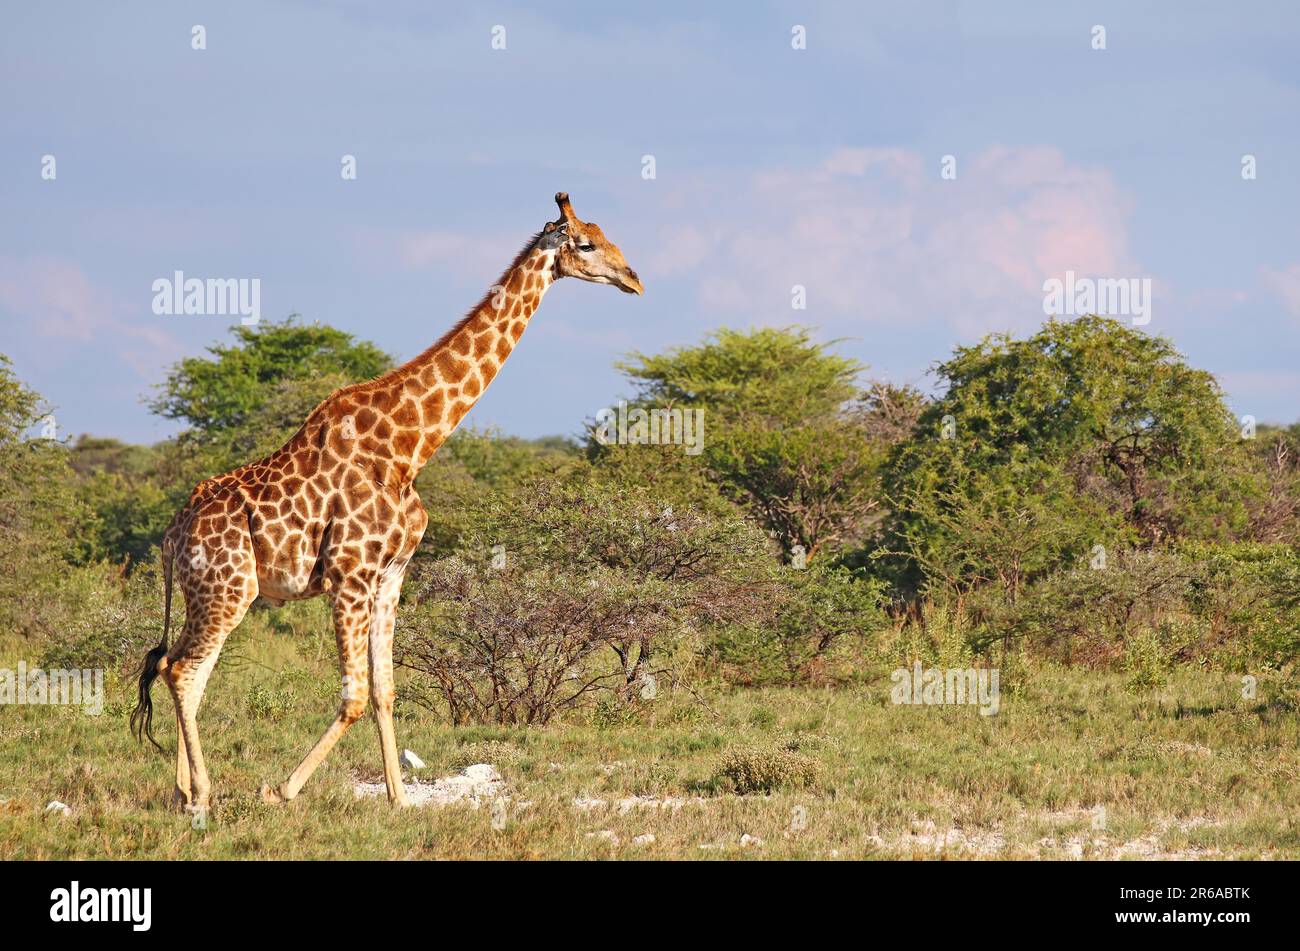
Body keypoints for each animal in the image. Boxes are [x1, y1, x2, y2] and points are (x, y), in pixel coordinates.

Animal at [131, 193, 639, 810]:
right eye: (585, 244)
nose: (634, 279)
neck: (409, 447)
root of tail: (170, 535)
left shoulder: (392, 573)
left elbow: (384, 690)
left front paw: (398, 799)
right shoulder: (350, 576)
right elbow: (352, 697)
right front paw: (282, 790)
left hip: (212, 593)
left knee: (180, 667)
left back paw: (184, 791)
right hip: (226, 588)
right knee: (183, 669)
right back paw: (202, 793)